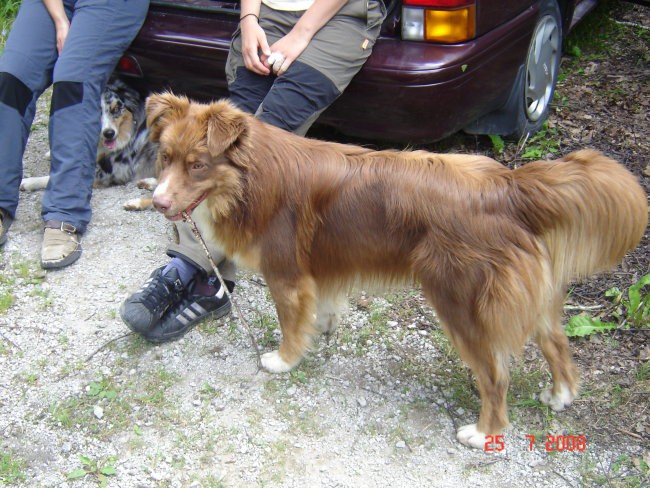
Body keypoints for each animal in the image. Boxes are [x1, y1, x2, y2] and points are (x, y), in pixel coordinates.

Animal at [144, 93, 644, 448]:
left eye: (198, 164)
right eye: (164, 158)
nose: (158, 202)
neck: (249, 178)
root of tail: (508, 184)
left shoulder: (286, 274)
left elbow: (289, 324)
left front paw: (284, 359)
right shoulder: (322, 268)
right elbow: (323, 306)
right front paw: (321, 329)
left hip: (461, 302)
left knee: (496, 376)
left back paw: (483, 432)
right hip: (523, 294)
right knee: (556, 341)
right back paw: (560, 394)